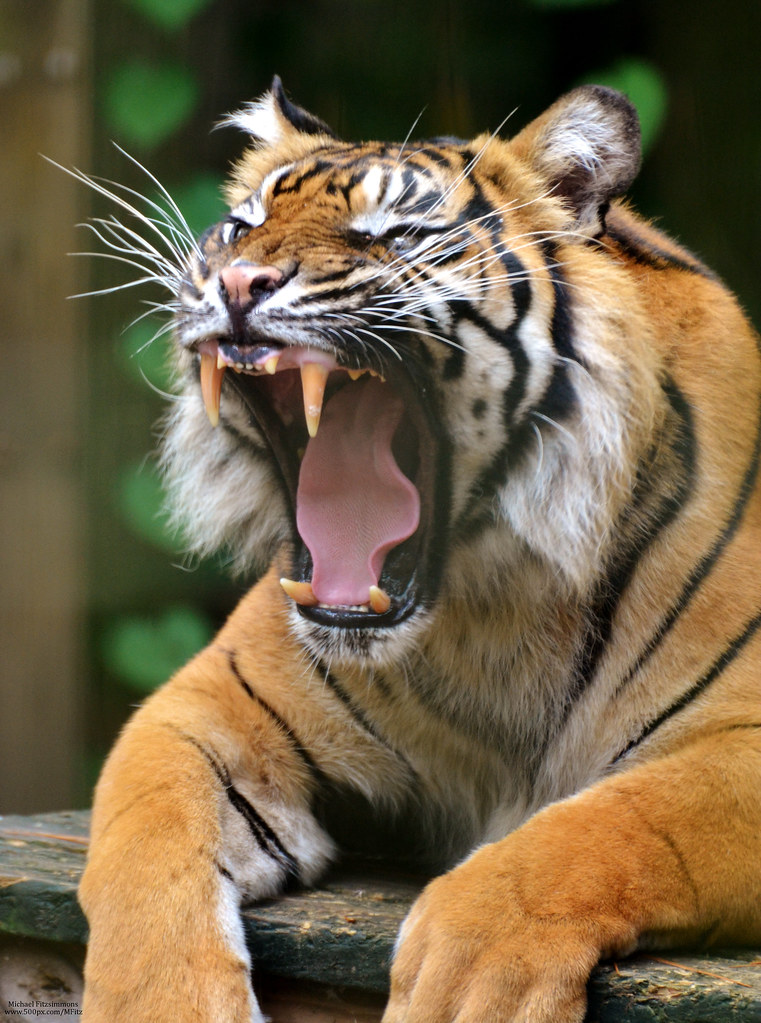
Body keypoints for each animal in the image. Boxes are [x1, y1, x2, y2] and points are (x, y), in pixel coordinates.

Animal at [78, 78, 761, 1023]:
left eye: (391, 231)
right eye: (241, 224)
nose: (237, 281)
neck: (486, 616)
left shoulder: (736, 744)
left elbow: (602, 825)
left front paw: (467, 986)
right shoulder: (204, 703)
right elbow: (145, 851)